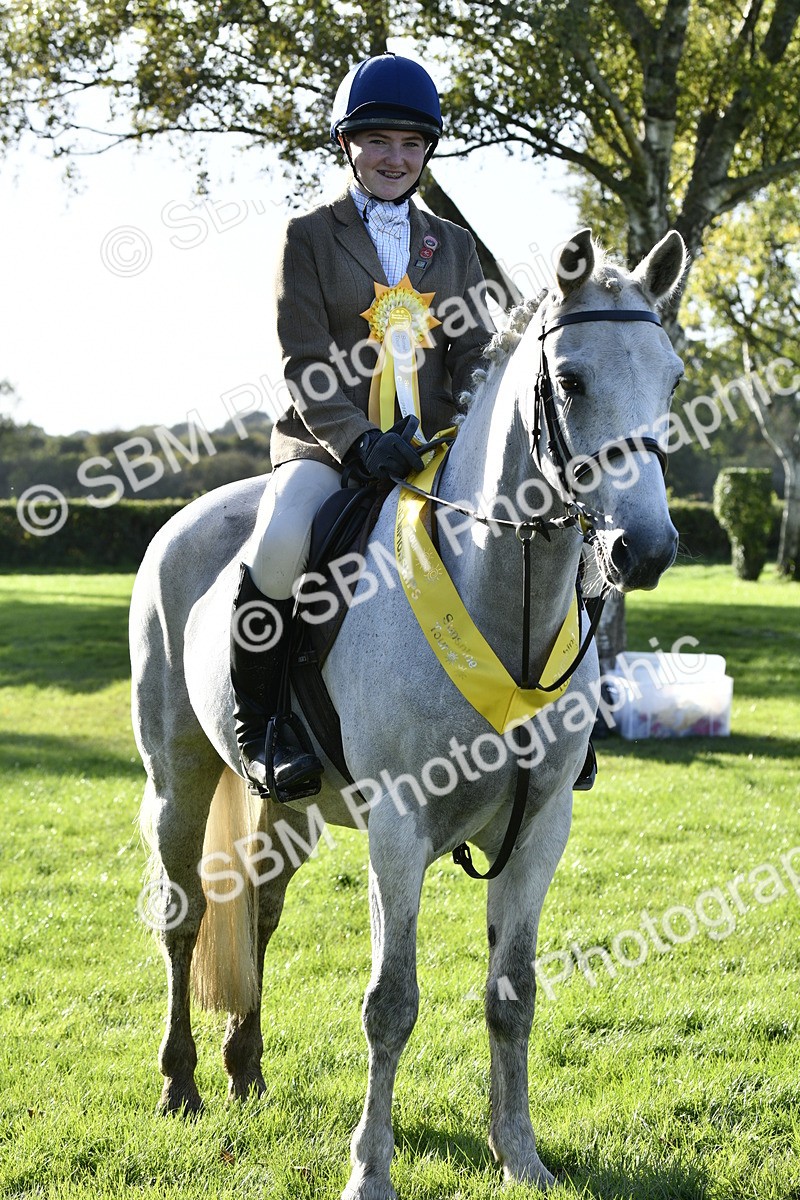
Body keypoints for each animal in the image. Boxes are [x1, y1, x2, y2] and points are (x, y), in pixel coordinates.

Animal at [130, 226, 687, 1197]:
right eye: (571, 379)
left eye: (675, 380)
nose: (645, 549)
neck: (503, 598)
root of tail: (185, 519)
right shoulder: (397, 828)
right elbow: (390, 1003)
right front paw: (370, 1171)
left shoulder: (542, 827)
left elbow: (514, 995)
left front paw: (521, 1155)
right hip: (179, 777)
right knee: (185, 915)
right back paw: (182, 1084)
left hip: (289, 803)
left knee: (259, 909)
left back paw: (247, 1071)